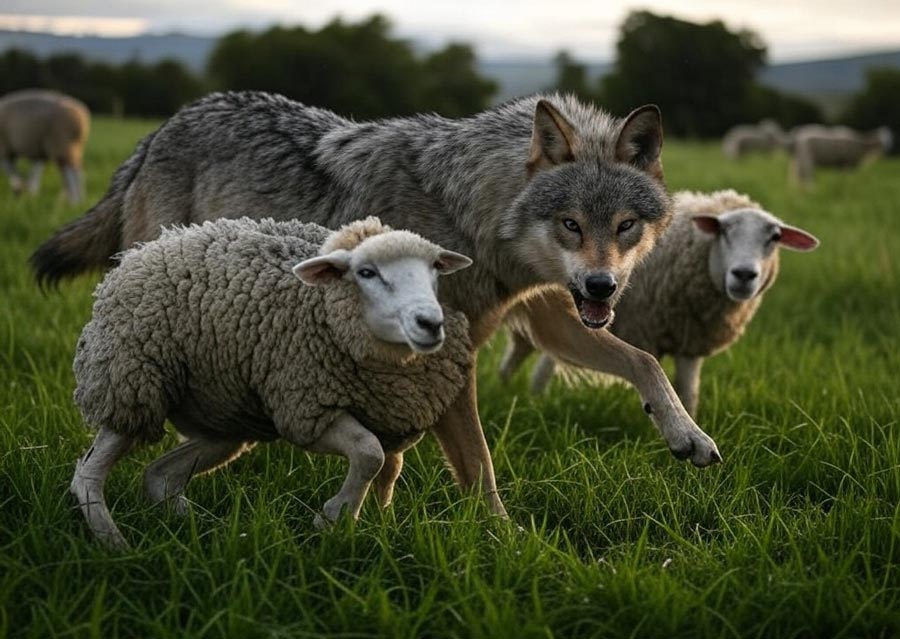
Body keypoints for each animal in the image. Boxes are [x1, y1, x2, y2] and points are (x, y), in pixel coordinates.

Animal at [69, 216, 474, 552]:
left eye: (435, 268)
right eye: (366, 272)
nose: (430, 322)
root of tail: (142, 249)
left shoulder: (390, 417)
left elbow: (388, 469)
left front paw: (378, 521)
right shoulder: (307, 407)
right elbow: (368, 452)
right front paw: (334, 518)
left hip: (223, 417)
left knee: (160, 477)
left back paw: (211, 534)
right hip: (131, 382)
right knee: (88, 474)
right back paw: (115, 544)